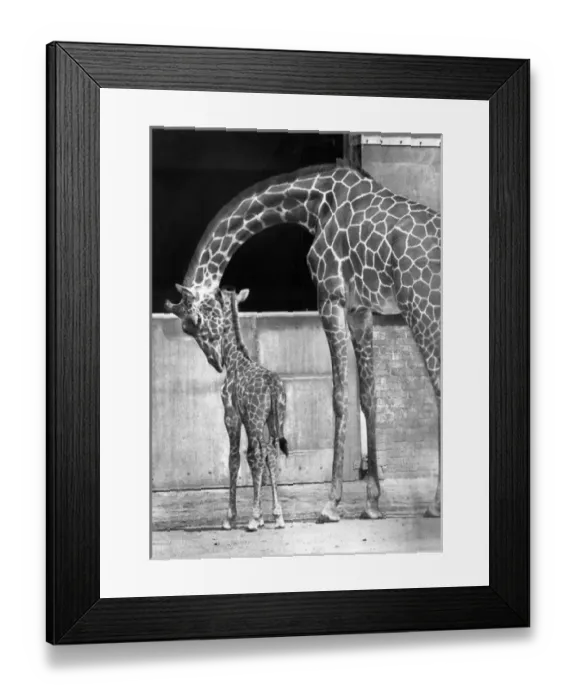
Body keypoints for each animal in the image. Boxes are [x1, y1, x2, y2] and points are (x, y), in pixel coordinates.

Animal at [166, 285, 289, 532]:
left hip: (256, 419)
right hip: (274, 419)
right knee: (271, 454)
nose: (216, 361)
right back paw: (278, 516)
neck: (233, 360)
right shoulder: (247, 418)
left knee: (259, 455)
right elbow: (254, 457)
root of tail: (273, 385)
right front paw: (263, 517)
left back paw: (252, 519)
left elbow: (234, 459)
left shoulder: (231, 415)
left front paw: (231, 518)